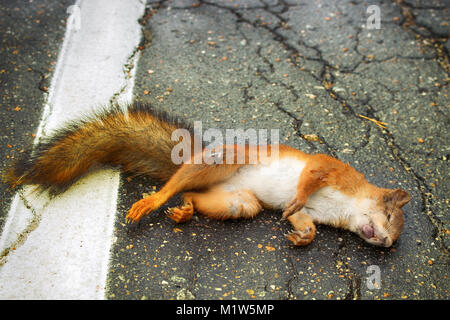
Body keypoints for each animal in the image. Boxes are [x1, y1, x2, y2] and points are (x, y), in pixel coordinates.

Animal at [4, 102, 412, 248]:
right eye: (391, 216)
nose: (386, 244)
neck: (348, 207)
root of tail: (189, 159)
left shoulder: (313, 214)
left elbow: (304, 222)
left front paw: (301, 237)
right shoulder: (331, 168)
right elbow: (309, 178)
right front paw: (296, 197)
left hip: (240, 201)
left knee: (195, 197)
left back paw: (185, 210)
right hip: (221, 161)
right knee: (170, 187)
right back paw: (154, 201)